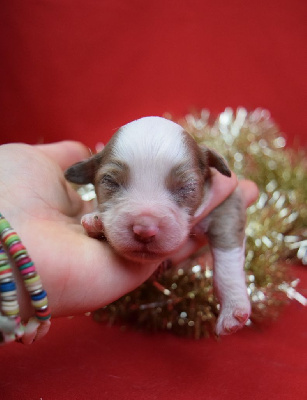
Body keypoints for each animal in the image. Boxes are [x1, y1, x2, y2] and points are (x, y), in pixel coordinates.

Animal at [65, 117, 250, 336]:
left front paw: (233, 309)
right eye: (110, 181)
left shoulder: (228, 203)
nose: (144, 230)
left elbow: (227, 253)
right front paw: (95, 219)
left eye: (187, 187)